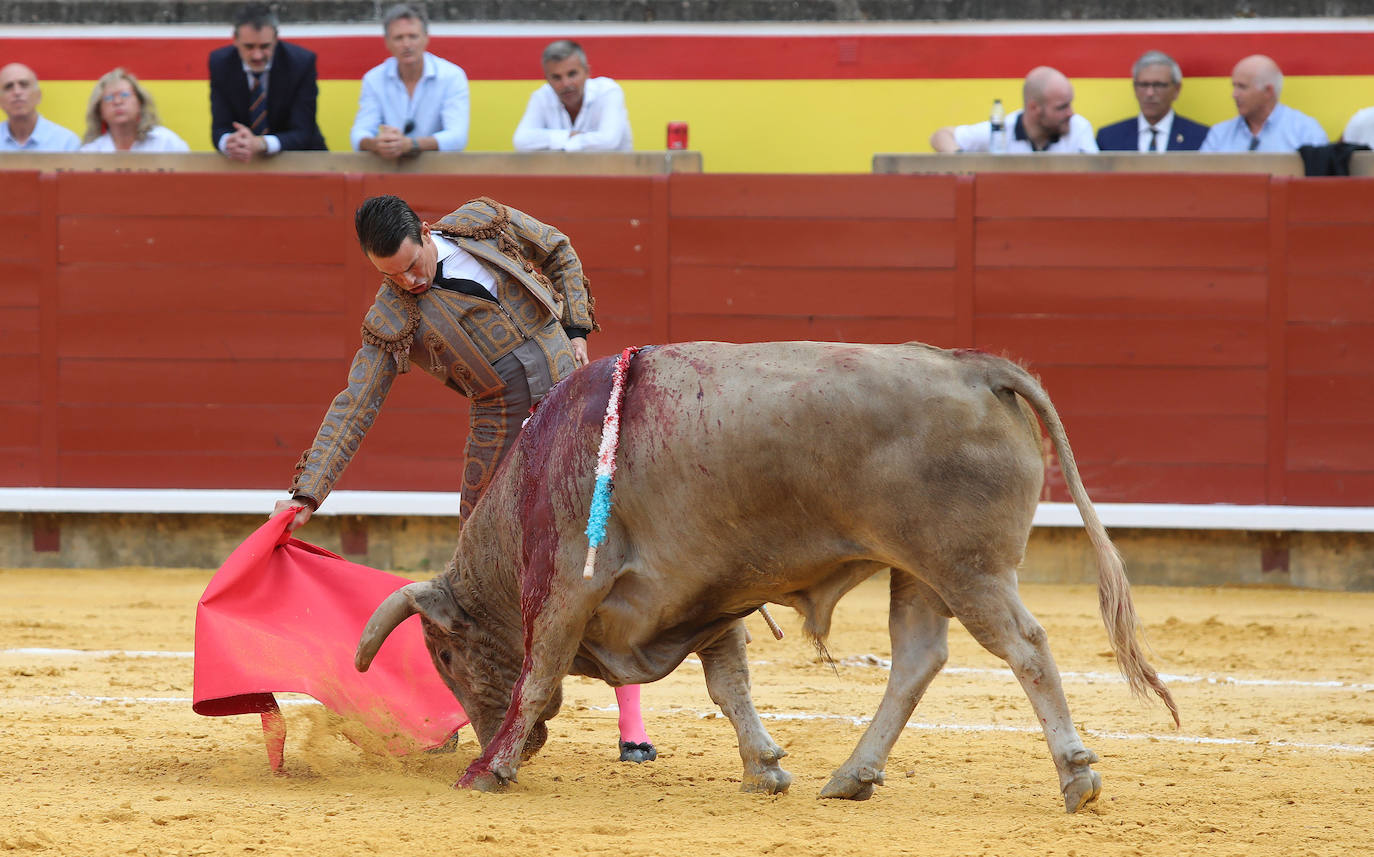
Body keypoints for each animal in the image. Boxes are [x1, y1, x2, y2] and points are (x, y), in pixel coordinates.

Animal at [357, 339, 1181, 807]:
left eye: (445, 655)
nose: (520, 749)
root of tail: (979, 368)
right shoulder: (703, 597)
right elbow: (731, 686)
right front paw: (765, 770)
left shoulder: (566, 590)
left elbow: (536, 673)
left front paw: (486, 773)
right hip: (919, 571)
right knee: (919, 657)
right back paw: (852, 775)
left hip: (968, 568)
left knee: (1026, 646)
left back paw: (1077, 776)